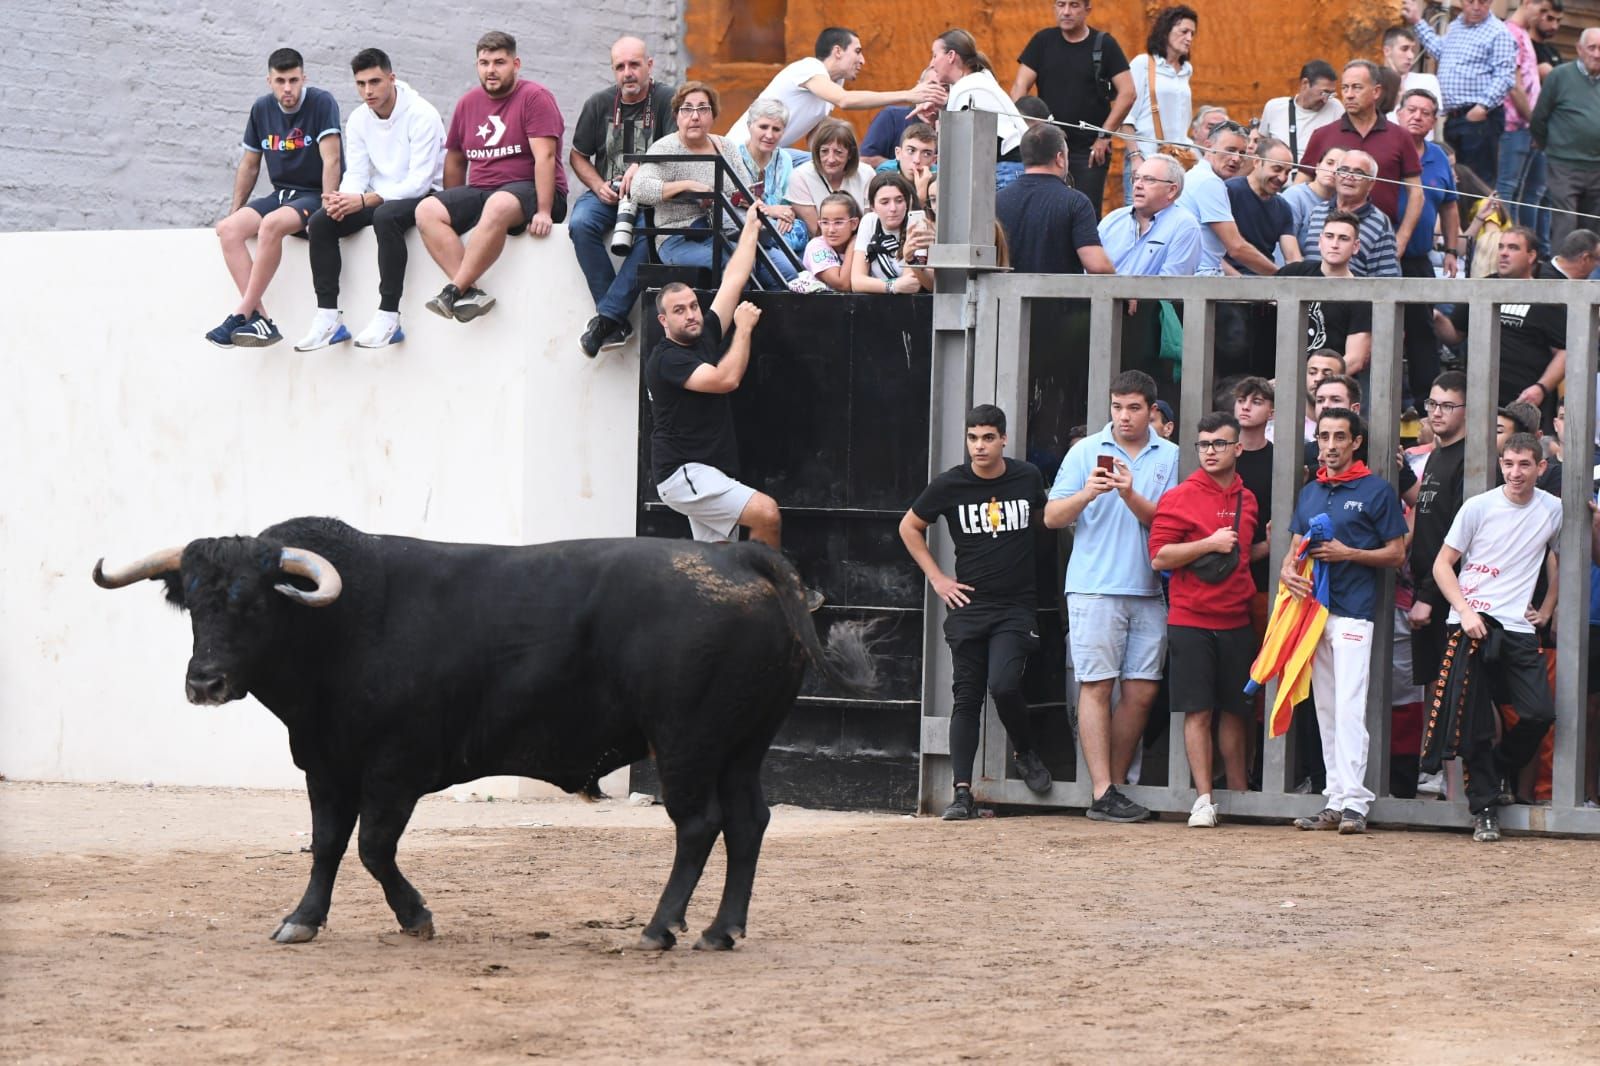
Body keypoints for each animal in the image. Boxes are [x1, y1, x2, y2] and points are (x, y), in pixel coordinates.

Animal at [93, 515, 876, 947]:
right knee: (747, 822)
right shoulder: (325, 764)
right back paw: (720, 930)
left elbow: (373, 847)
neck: (342, 625)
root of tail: (738, 557)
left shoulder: (395, 767)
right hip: (741, 747)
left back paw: (661, 928)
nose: (204, 683)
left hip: (686, 743)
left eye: (253, 604)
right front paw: (302, 920)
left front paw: (416, 917)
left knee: (699, 824)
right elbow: (326, 845)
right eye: (194, 604)